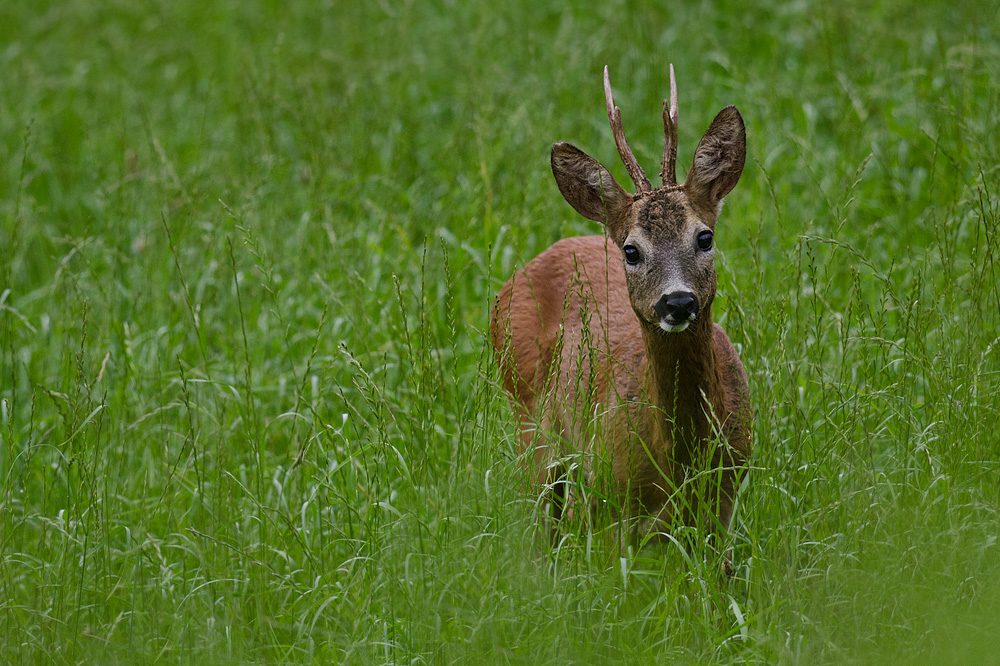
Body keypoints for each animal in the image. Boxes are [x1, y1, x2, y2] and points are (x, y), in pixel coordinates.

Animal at [488, 66, 752, 560]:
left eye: (704, 237)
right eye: (631, 250)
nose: (678, 302)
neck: (680, 460)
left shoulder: (726, 491)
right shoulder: (611, 490)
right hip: (529, 416)